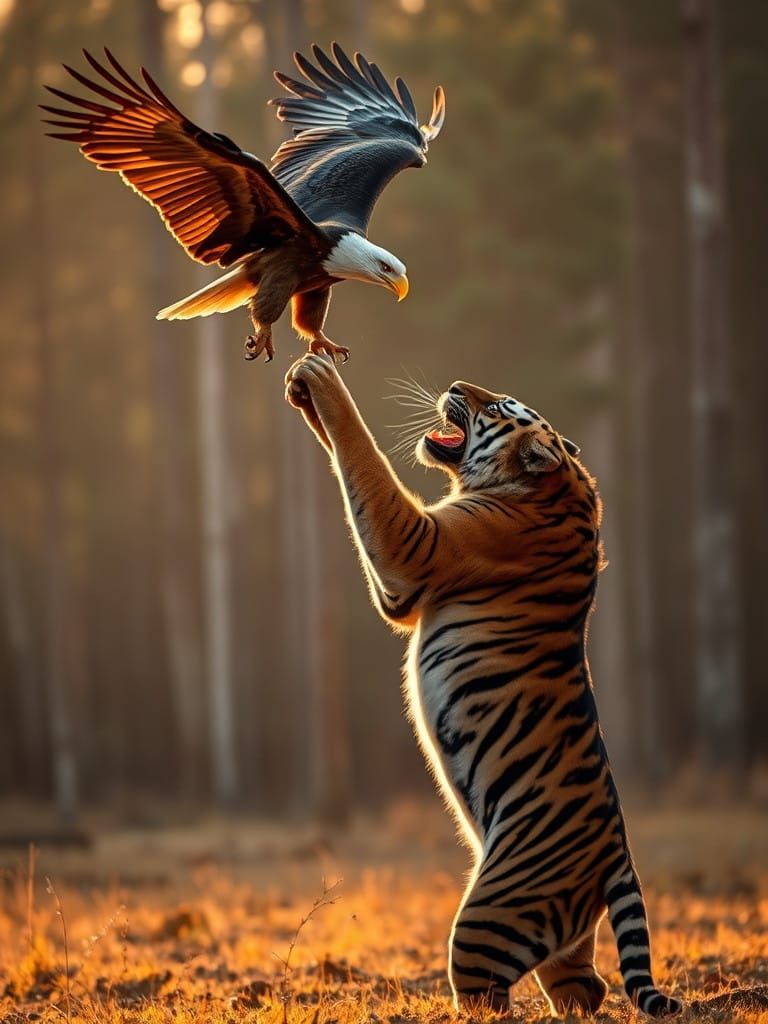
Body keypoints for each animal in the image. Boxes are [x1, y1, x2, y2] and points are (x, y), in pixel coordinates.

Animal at [285, 352, 682, 1018]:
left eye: (495, 406)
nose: (454, 384)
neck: (558, 487)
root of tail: (618, 859)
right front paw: (303, 385)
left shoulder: (414, 551)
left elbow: (366, 462)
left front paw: (324, 384)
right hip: (564, 937)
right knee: (586, 988)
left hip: (488, 914)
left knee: (486, 997)